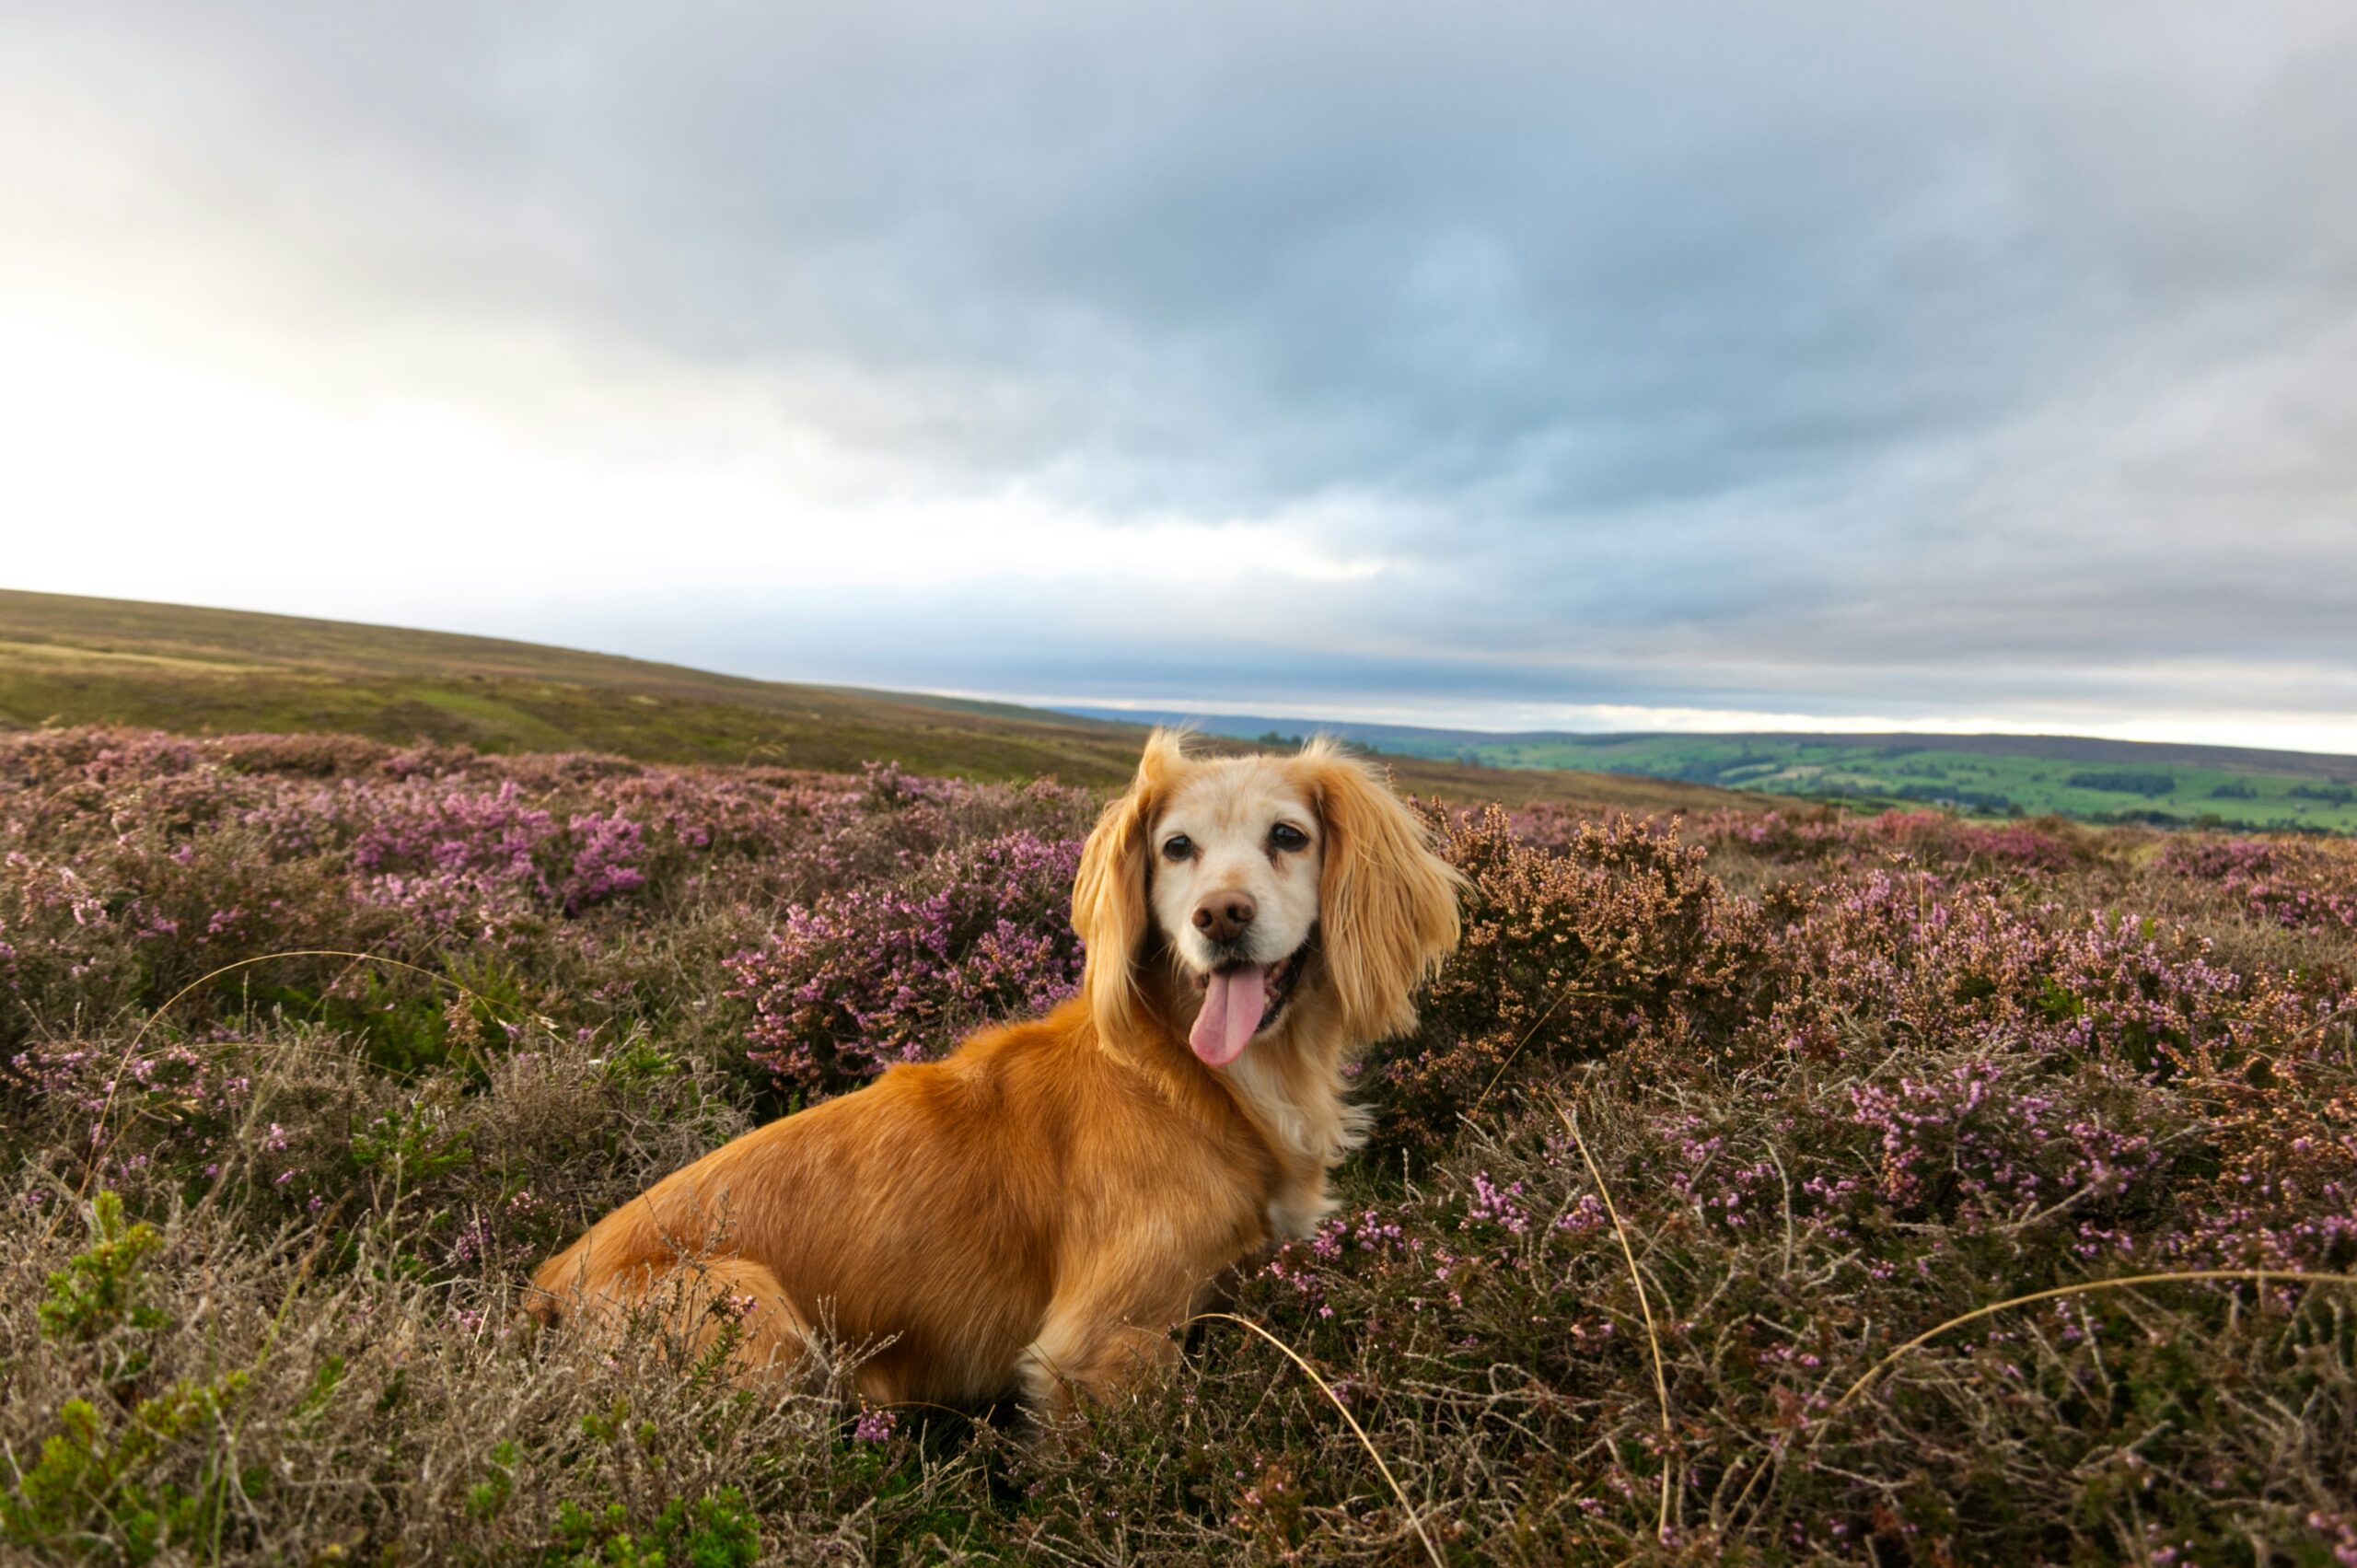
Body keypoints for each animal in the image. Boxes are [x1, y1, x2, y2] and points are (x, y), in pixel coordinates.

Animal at [525, 726, 1461, 1414]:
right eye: (1177, 847)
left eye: (1288, 836)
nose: (1221, 916)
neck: (1193, 1079)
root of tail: (546, 1284)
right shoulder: (1103, 1343)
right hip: (754, 1307)